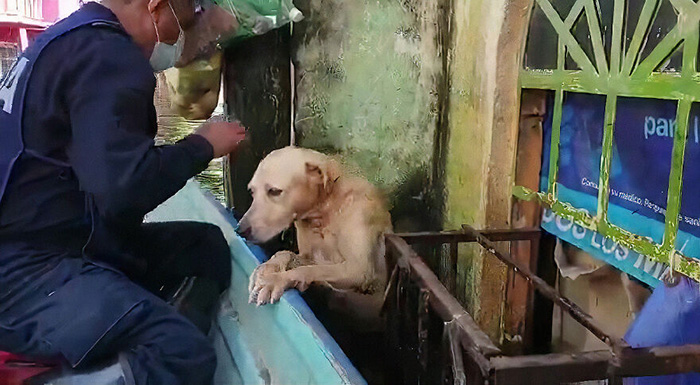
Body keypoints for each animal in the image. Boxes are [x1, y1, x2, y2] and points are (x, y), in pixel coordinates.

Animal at [239, 147, 394, 316]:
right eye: (252, 191)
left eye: (274, 191)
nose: (240, 230)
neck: (327, 208)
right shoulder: (309, 256)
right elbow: (287, 254)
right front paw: (267, 267)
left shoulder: (359, 270)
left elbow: (309, 270)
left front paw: (276, 280)